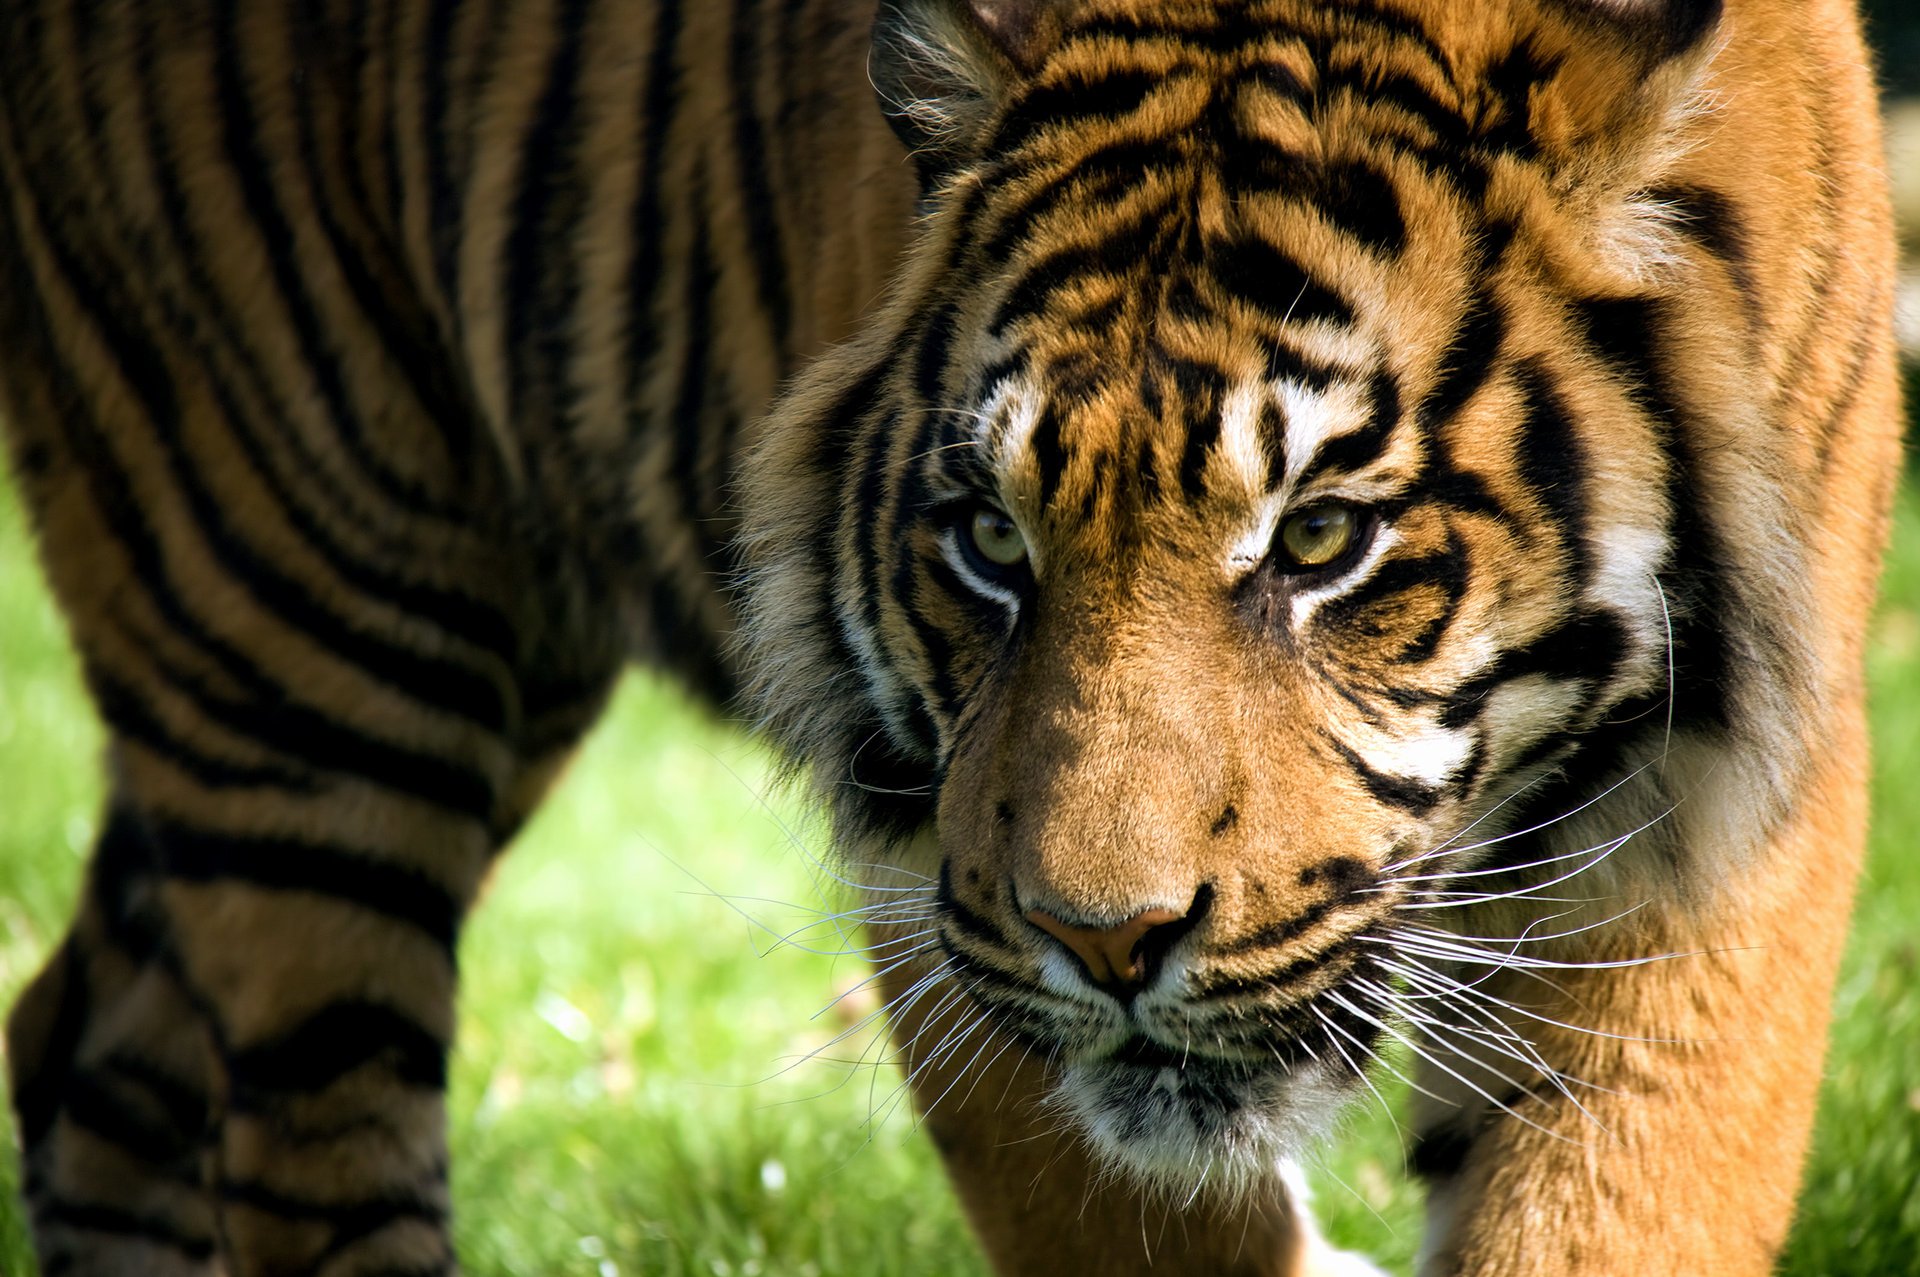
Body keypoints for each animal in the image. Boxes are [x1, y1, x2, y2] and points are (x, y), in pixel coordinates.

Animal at [0, 0, 1901, 1272]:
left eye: (1323, 538)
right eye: (994, 539)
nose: (1105, 942)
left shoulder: (1713, 826)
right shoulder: (940, 879)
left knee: (89, 1051)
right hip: (308, 634)